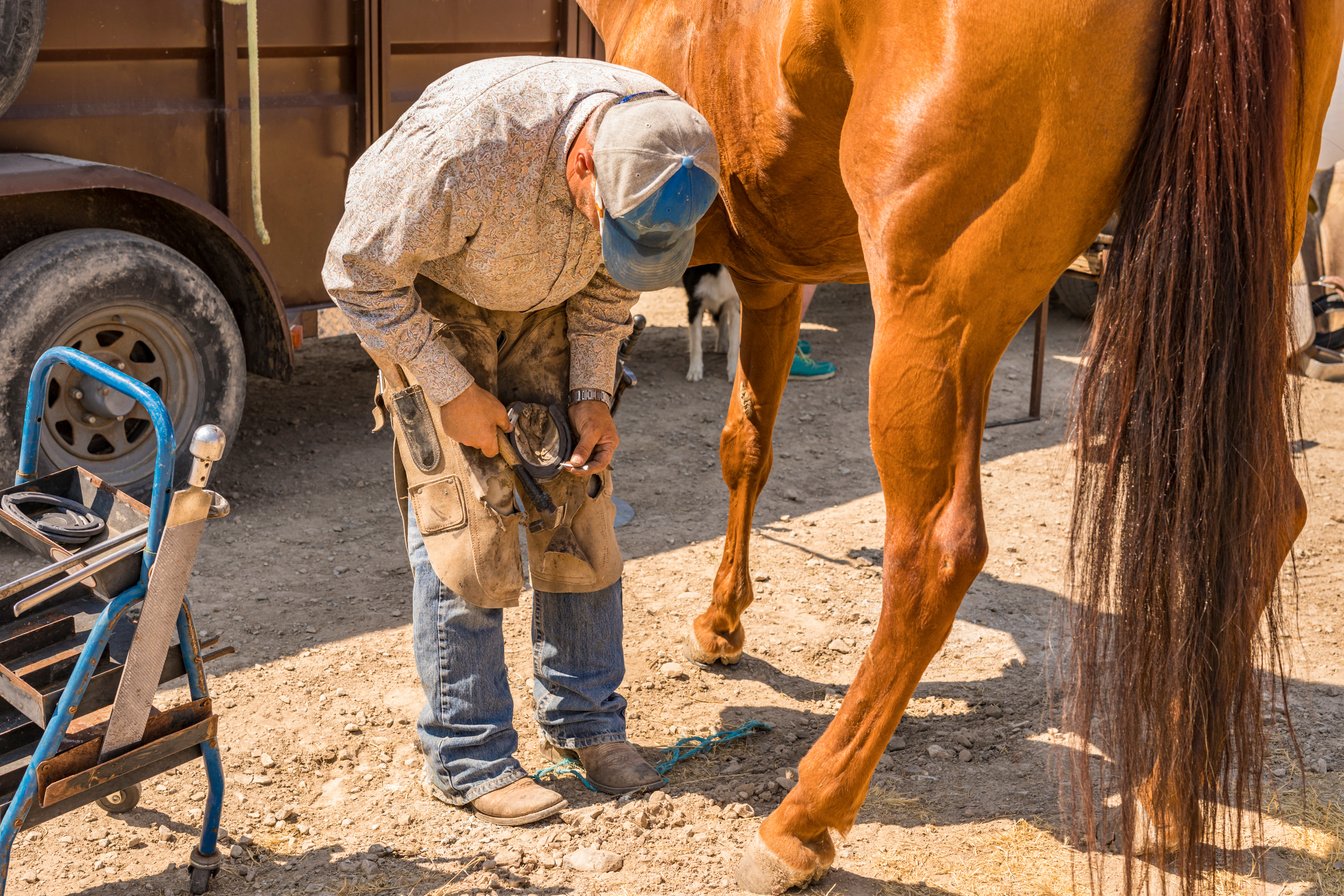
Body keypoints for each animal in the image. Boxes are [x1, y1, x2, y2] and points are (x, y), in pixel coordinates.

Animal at [577, 1, 1344, 896]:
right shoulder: (774, 277)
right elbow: (748, 446)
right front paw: (723, 621)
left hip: (931, 314)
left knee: (935, 554)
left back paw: (802, 822)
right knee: (1263, 518)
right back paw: (1166, 798)